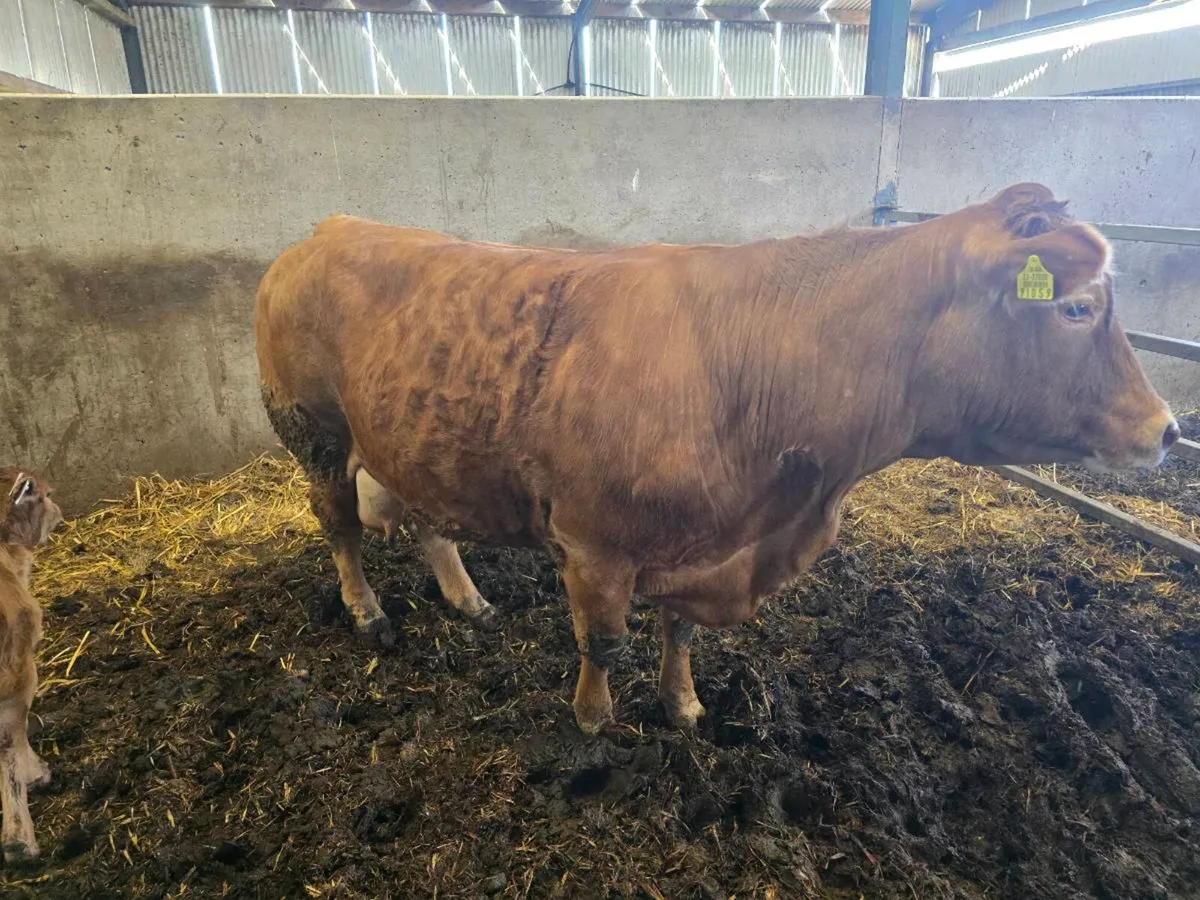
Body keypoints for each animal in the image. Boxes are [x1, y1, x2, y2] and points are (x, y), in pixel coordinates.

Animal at [255, 183, 1178, 735]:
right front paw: (593, 722)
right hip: (313, 430)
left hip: (410, 440)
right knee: (341, 526)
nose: (1168, 429)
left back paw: (466, 597)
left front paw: (685, 703)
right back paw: (367, 610)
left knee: (422, 519)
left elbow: (681, 632)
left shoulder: (704, 540)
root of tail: (329, 229)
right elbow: (603, 641)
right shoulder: (594, 544)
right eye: (1076, 308)